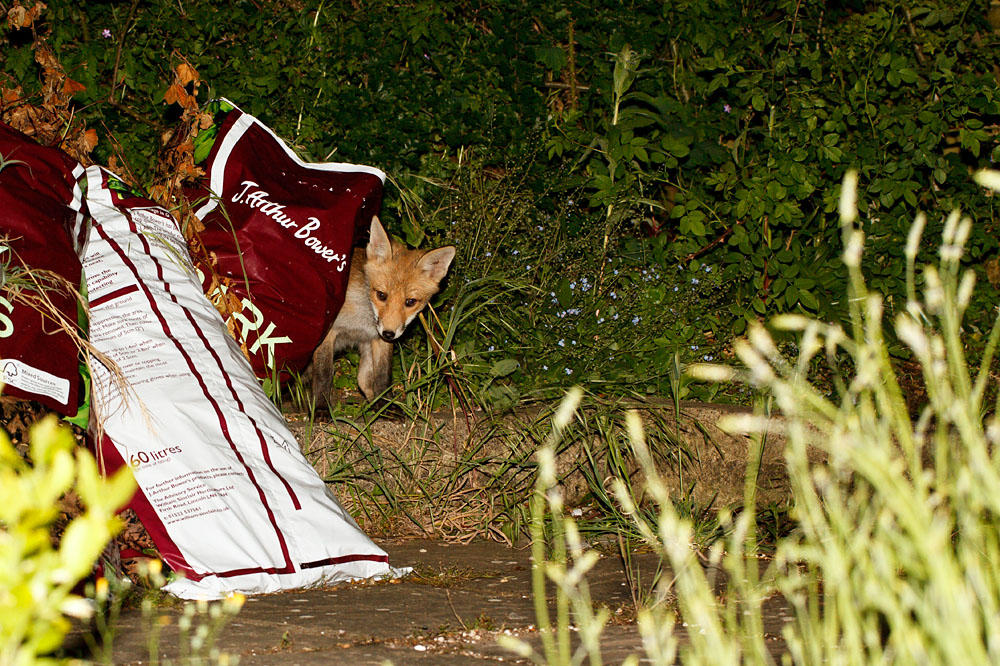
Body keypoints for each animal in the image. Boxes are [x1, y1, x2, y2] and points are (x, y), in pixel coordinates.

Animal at [306, 216, 456, 404]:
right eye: (381, 295)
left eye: (410, 302)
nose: (389, 333)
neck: (362, 320)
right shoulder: (329, 333)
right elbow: (324, 374)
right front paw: (320, 407)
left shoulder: (376, 339)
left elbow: (379, 376)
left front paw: (385, 404)